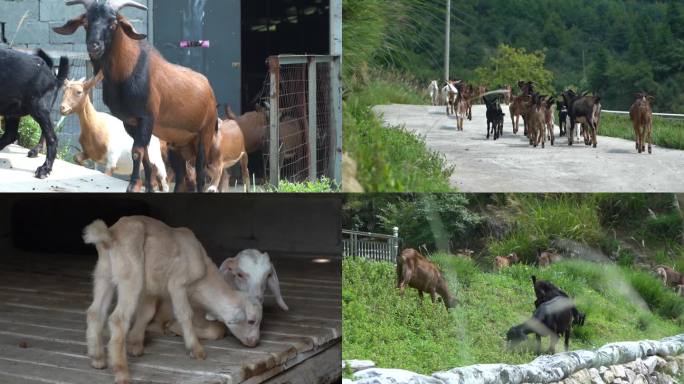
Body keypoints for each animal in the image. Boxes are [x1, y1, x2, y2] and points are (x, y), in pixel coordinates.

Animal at [0, 47, 69, 178]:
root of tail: (54, 78)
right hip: (14, 111)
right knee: (10, 135)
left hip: (38, 108)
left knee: (52, 138)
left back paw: (44, 168)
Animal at [54, 0, 219, 192]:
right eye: (86, 22)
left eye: (113, 23)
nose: (94, 45)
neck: (127, 72)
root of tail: (209, 90)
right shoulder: (130, 122)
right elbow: (144, 155)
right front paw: (146, 187)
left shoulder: (146, 118)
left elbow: (136, 152)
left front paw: (133, 184)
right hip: (177, 144)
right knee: (182, 176)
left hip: (205, 134)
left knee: (200, 172)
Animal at [82, 216, 260, 384]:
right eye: (251, 321)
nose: (255, 343)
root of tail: (110, 235)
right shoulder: (178, 284)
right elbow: (185, 314)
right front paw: (196, 349)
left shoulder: (151, 290)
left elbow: (146, 313)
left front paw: (135, 344)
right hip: (131, 276)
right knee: (118, 319)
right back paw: (122, 373)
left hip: (103, 273)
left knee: (95, 312)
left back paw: (97, 358)